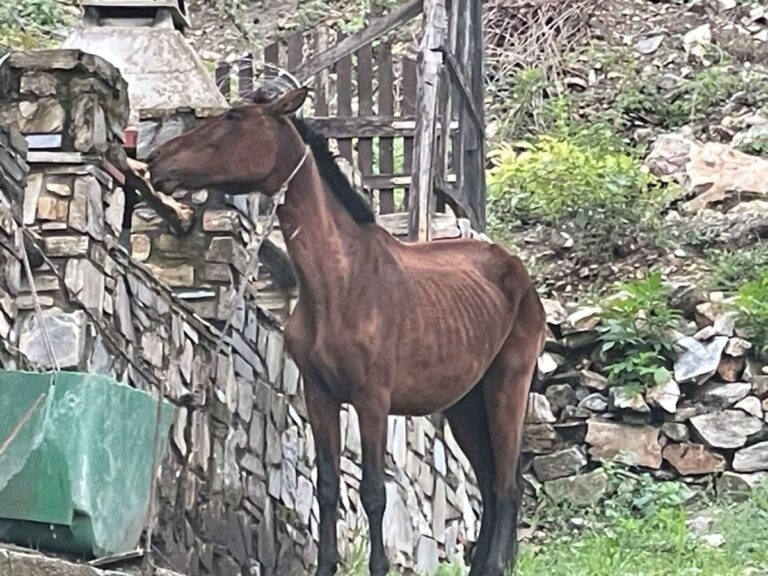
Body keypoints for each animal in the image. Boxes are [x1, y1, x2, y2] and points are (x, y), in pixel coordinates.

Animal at [148, 86, 544, 576]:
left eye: (235, 117)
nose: (157, 160)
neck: (341, 282)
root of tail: (516, 270)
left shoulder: (372, 401)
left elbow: (373, 492)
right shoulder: (320, 396)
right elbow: (328, 486)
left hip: (508, 384)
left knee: (507, 485)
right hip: (464, 404)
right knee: (490, 483)